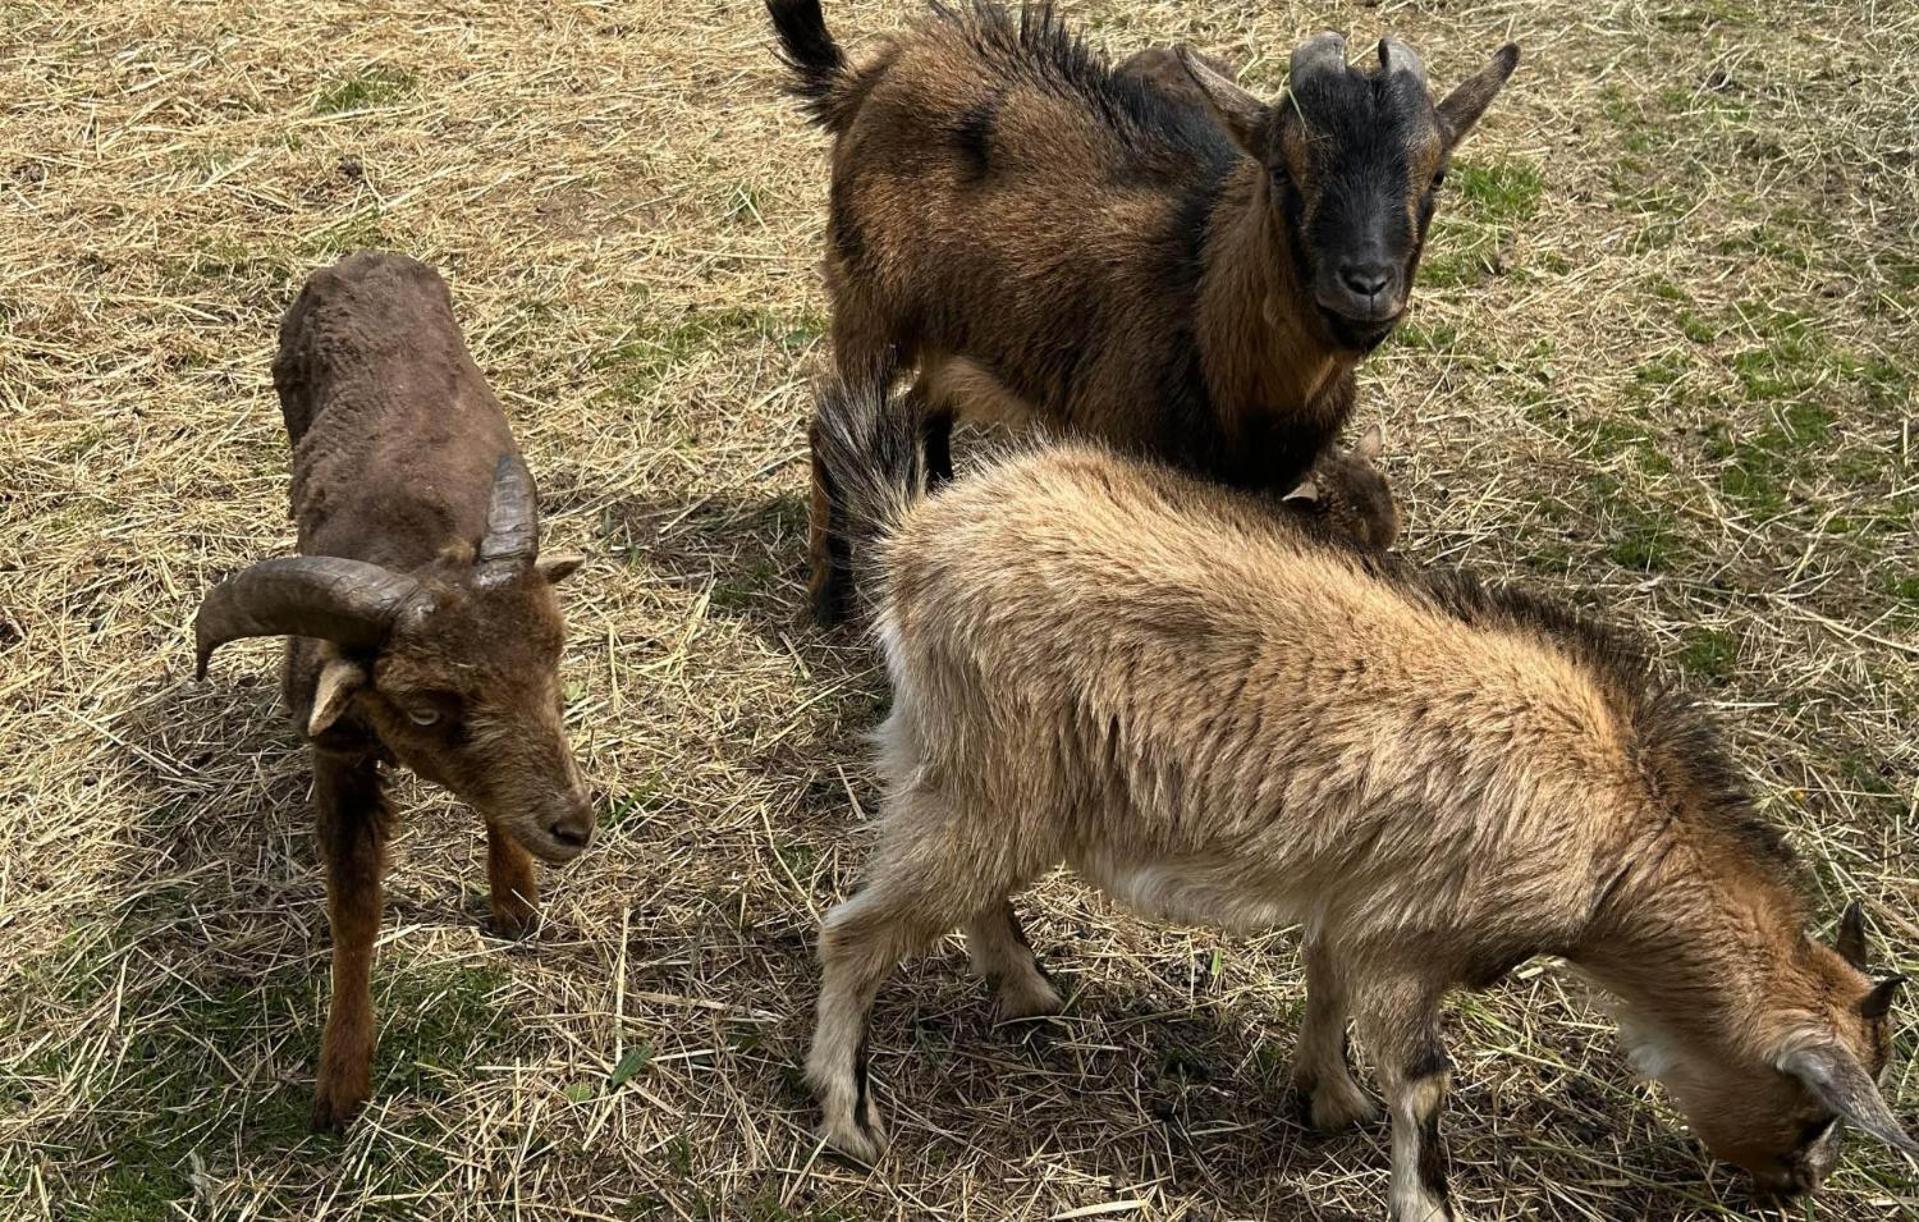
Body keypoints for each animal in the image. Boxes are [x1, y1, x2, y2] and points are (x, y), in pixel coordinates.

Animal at [196, 249, 591, 1135]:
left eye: (554, 658)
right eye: (423, 708)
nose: (574, 829)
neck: (413, 541)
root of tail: (364, 257)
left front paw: (515, 899)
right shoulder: (337, 753)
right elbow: (355, 906)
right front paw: (340, 1085)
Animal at [771, 0, 1519, 617]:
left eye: (1436, 175)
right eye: (1283, 170)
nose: (1365, 284)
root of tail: (870, 73)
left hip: (958, 330)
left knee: (925, 406)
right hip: (868, 304)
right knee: (832, 421)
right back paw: (829, 598)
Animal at [802, 374, 1911, 1220]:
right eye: (1814, 1112)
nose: (1793, 1188)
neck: (1619, 836)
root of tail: (915, 537)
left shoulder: (1356, 902)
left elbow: (1324, 988)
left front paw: (1328, 1103)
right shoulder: (1410, 934)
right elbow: (1420, 1077)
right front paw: (1425, 1198)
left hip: (974, 775)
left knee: (961, 895)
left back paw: (1028, 990)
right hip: (990, 775)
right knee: (854, 932)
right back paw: (849, 1120)